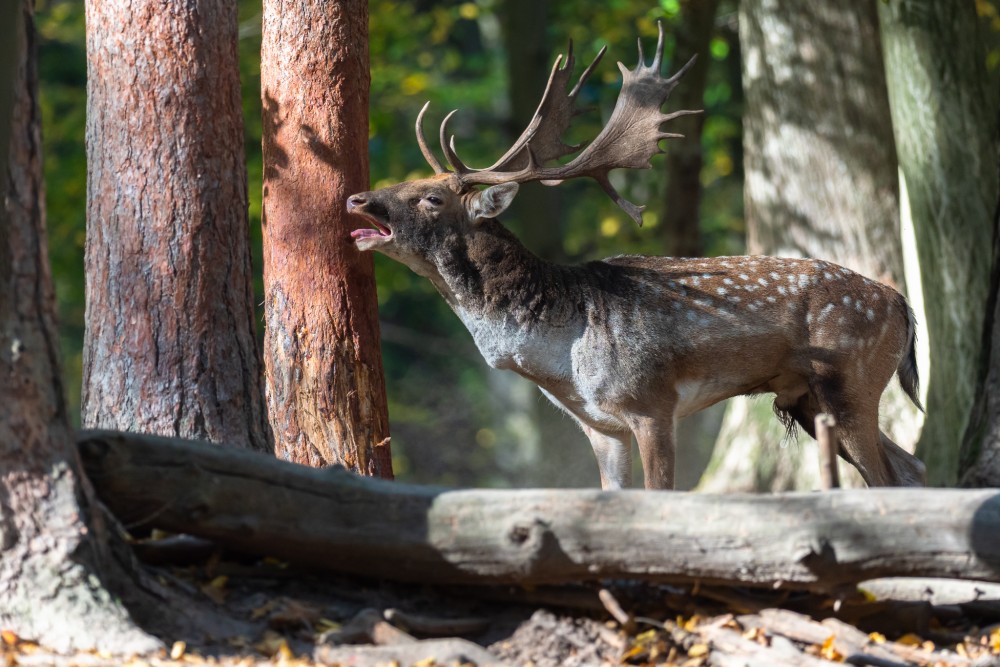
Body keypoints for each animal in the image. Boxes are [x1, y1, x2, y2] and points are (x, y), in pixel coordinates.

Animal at [348, 23, 924, 490]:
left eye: (430, 198)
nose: (356, 198)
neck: (561, 356)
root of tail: (901, 304)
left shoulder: (652, 402)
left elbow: (661, 494)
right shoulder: (599, 425)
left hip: (850, 379)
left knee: (889, 477)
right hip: (803, 397)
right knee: (910, 468)